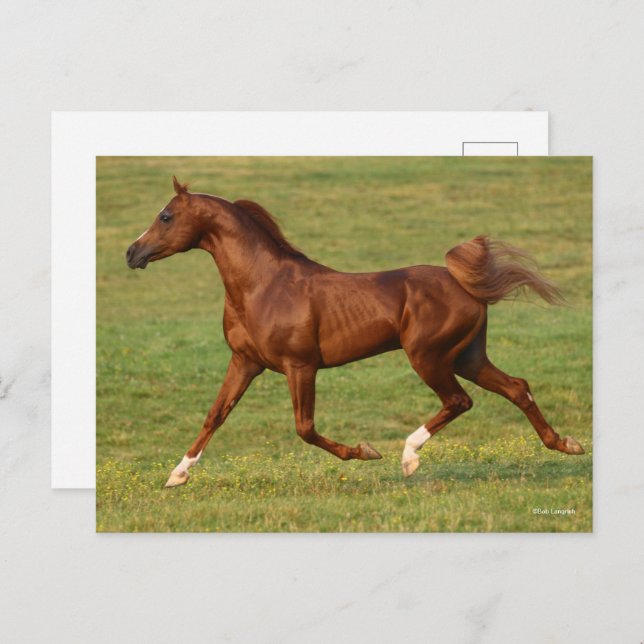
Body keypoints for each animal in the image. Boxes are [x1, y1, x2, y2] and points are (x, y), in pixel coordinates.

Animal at [125, 177, 585, 488]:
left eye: (165, 216)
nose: (132, 252)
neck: (263, 286)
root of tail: (465, 284)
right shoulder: (245, 362)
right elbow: (215, 415)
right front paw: (176, 475)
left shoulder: (300, 366)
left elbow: (305, 428)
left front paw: (366, 451)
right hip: (467, 356)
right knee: (516, 387)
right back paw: (566, 444)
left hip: (428, 356)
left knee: (460, 400)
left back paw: (408, 458)